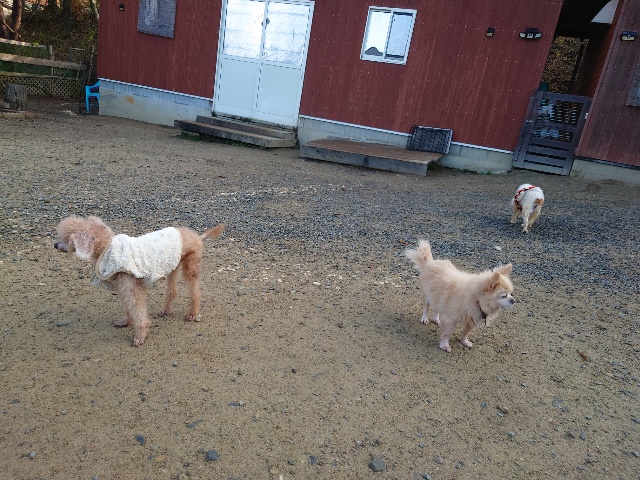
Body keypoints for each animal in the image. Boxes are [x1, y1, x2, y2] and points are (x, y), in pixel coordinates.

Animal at [54, 215, 224, 346]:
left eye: (66, 238)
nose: (55, 244)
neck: (107, 247)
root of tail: (197, 236)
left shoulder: (132, 289)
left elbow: (138, 311)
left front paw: (140, 336)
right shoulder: (123, 288)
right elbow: (129, 308)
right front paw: (125, 322)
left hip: (190, 265)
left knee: (195, 292)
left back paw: (192, 314)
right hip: (173, 266)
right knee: (172, 291)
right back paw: (165, 310)